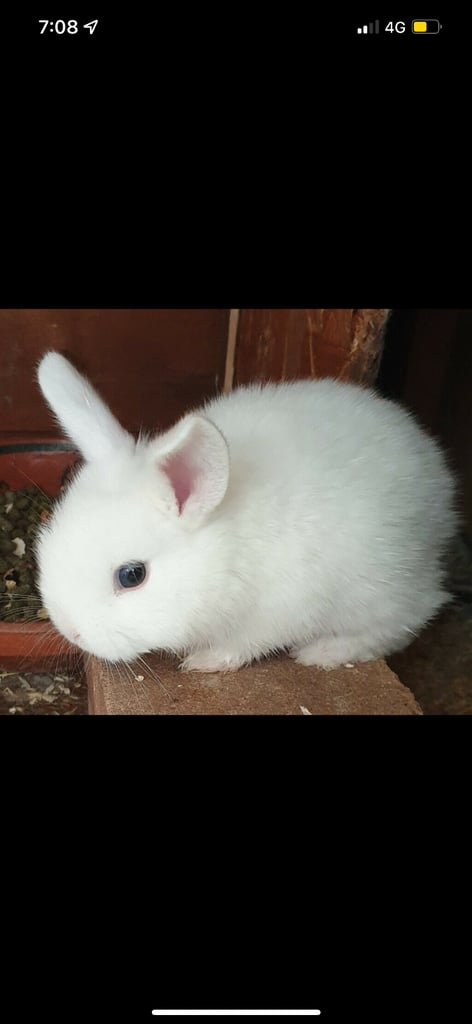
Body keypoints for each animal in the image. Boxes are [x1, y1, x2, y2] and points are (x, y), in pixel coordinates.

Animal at [35, 351, 458, 671]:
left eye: (132, 575)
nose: (71, 631)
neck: (227, 549)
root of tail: (439, 482)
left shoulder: (275, 613)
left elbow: (241, 646)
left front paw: (203, 662)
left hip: (379, 589)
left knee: (407, 619)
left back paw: (322, 653)